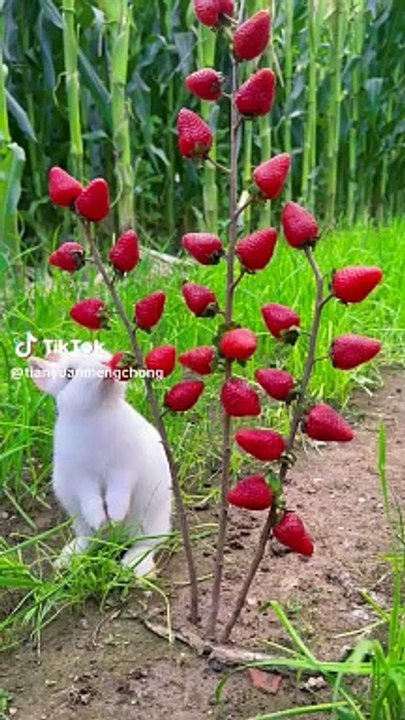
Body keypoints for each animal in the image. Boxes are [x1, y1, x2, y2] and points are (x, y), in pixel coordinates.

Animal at [29, 348, 172, 577]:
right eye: (69, 373)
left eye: (99, 351)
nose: (106, 363)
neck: (98, 412)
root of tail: (118, 539)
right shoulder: (81, 478)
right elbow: (90, 499)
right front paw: (101, 520)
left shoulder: (124, 470)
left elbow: (118, 493)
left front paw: (115, 515)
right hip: (81, 523)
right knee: (91, 540)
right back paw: (68, 558)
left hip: (153, 522)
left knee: (148, 544)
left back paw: (134, 567)